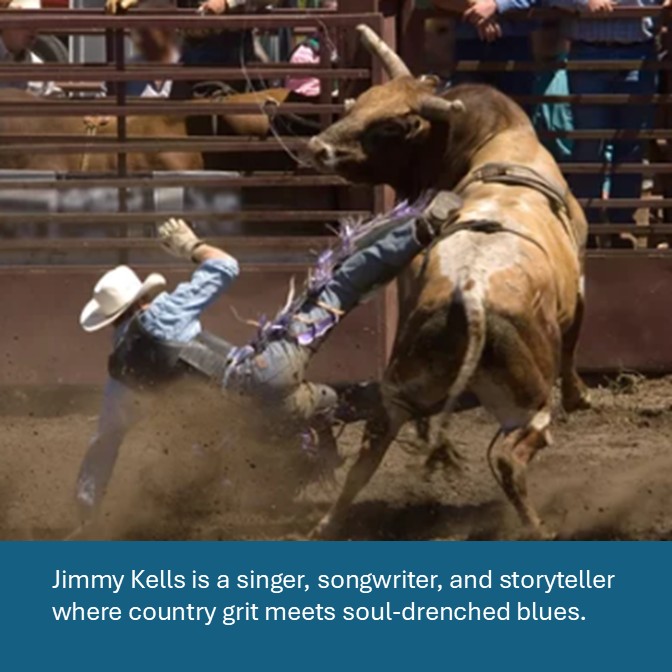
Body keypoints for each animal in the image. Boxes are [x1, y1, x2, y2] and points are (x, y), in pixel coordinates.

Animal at [306, 25, 591, 540]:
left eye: (389, 126)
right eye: (359, 103)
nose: (318, 147)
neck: (495, 141)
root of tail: (471, 297)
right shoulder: (578, 283)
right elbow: (574, 345)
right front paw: (581, 396)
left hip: (402, 384)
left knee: (369, 451)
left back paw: (329, 522)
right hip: (528, 404)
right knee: (508, 458)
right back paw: (538, 528)